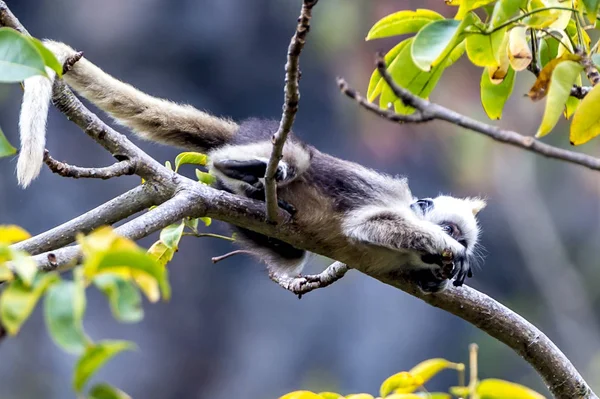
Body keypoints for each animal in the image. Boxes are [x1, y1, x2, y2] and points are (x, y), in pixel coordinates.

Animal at [14, 41, 486, 294]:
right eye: (450, 229)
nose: (447, 252)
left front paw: (439, 276)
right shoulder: (387, 202)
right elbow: (366, 225)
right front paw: (451, 253)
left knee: (291, 250)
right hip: (279, 146)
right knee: (288, 160)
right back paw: (237, 170)